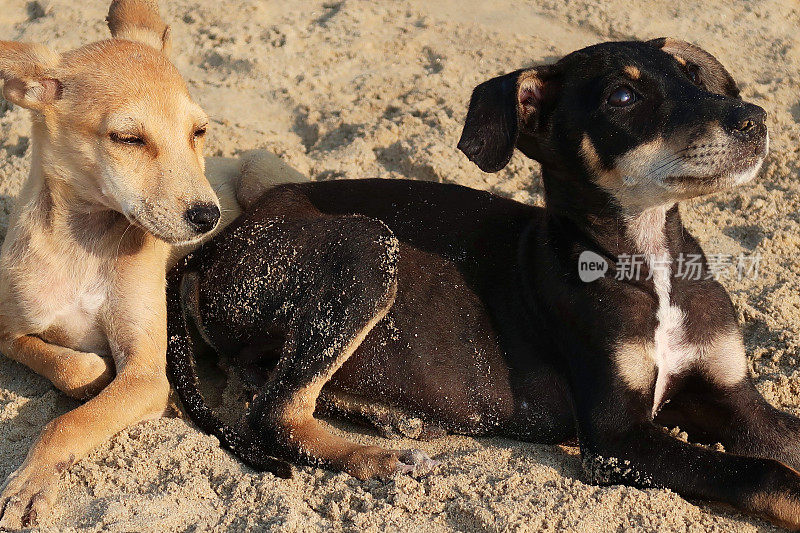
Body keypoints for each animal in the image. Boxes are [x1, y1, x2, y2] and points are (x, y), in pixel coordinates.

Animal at [0, 0, 306, 524]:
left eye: (199, 131)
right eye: (128, 139)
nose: (208, 216)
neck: (84, 245)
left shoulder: (146, 370)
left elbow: (70, 424)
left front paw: (31, 481)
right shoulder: (7, 330)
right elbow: (61, 363)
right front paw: (86, 370)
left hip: (265, 170)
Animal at [164, 39, 800, 524]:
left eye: (692, 76)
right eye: (624, 96)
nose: (756, 121)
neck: (654, 266)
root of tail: (212, 248)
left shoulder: (737, 399)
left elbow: (779, 437)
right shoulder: (616, 439)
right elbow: (759, 472)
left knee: (269, 384)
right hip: (368, 248)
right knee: (274, 411)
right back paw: (378, 458)